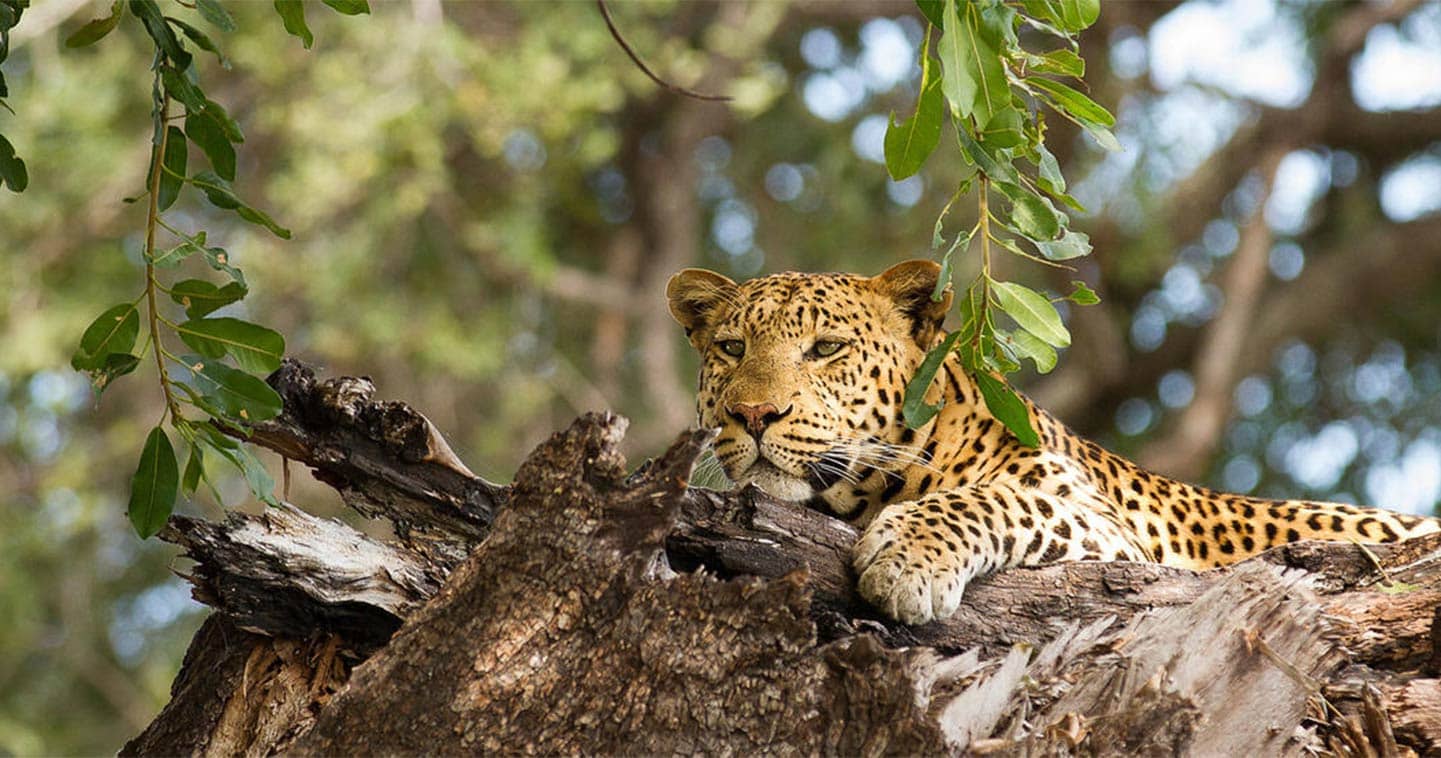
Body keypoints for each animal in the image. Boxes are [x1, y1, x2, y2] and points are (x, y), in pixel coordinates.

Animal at [665, 257, 1441, 628]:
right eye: (732, 349)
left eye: (826, 349)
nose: (754, 414)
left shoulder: (1106, 530)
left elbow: (994, 500)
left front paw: (906, 559)